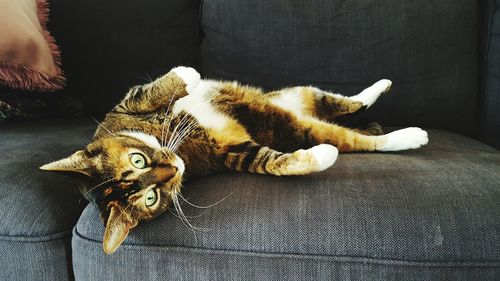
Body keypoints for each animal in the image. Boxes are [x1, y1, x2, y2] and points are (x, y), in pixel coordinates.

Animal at [41, 66, 428, 254]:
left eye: (136, 160)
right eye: (152, 198)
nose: (173, 169)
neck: (179, 146)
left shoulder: (124, 107)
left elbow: (151, 90)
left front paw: (189, 75)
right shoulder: (230, 152)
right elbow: (271, 162)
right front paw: (317, 157)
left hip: (294, 95)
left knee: (346, 102)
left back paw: (381, 87)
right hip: (298, 124)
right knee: (351, 136)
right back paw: (405, 136)